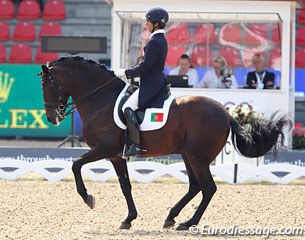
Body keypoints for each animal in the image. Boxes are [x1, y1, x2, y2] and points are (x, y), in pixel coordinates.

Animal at [39, 55, 290, 231]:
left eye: (46, 86)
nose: (52, 118)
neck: (101, 99)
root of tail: (225, 113)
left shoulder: (105, 149)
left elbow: (75, 165)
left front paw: (88, 198)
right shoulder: (116, 155)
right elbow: (125, 186)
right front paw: (128, 219)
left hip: (198, 157)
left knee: (208, 188)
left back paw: (187, 222)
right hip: (189, 155)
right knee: (195, 186)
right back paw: (171, 217)